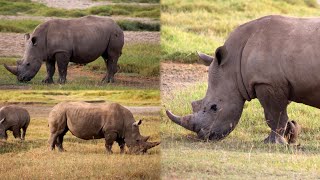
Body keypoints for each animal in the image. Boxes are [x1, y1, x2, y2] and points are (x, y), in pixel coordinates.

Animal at [166, 15, 320, 144]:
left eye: (214, 107)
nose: (205, 136)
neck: (233, 64)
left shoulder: (266, 82)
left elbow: (274, 114)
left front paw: (273, 143)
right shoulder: (280, 83)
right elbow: (280, 112)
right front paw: (290, 135)